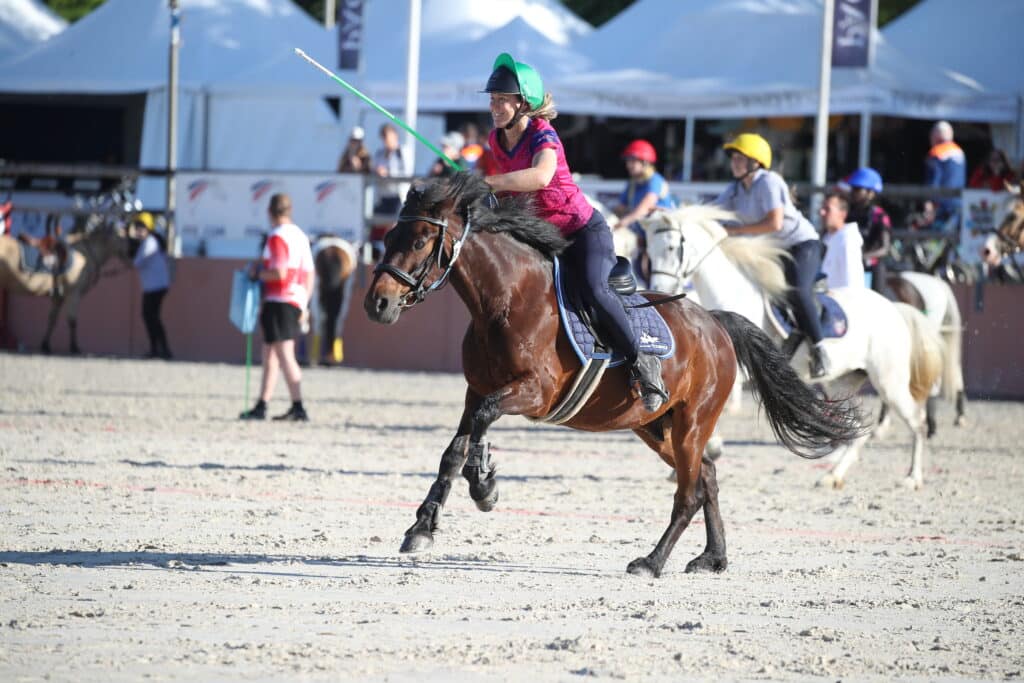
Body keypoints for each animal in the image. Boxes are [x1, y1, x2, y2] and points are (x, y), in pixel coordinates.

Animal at [0, 222, 132, 353]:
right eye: (122, 235)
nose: (131, 254)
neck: (84, 255)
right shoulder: (74, 294)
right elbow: (72, 320)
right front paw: (74, 347)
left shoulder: (58, 297)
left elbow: (52, 320)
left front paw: (46, 345)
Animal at [363, 173, 863, 578]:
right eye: (389, 237)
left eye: (421, 239)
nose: (377, 303)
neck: (506, 300)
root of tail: (716, 324)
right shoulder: (477, 389)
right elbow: (455, 449)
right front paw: (426, 522)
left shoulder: (533, 393)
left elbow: (483, 423)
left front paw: (484, 484)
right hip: (657, 427)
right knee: (707, 477)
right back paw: (712, 558)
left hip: (692, 423)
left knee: (689, 493)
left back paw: (652, 562)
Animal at [643, 204, 944, 490]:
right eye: (649, 251)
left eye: (672, 248)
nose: (659, 289)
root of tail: (893, 307)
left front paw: (710, 449)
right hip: (841, 384)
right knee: (859, 430)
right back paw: (832, 476)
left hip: (889, 383)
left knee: (916, 423)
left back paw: (912, 478)